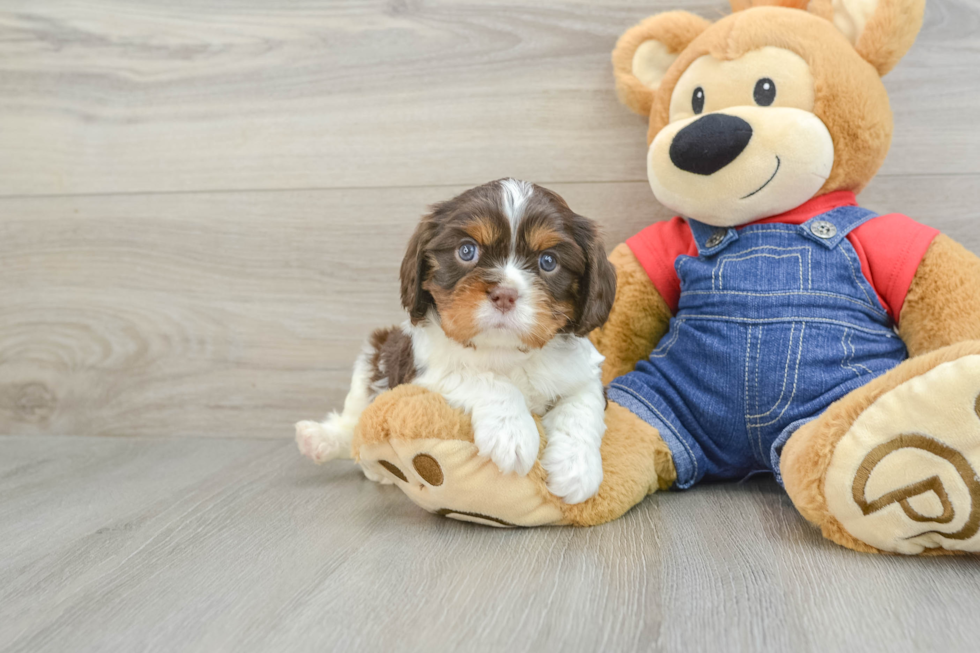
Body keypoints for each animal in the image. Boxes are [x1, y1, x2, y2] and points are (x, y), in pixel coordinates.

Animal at [294, 178, 616, 504]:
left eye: (548, 261)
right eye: (466, 251)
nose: (505, 294)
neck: (504, 350)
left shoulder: (583, 374)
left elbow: (582, 408)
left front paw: (577, 470)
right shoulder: (424, 372)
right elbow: (484, 380)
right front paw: (512, 433)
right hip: (375, 353)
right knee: (355, 423)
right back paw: (323, 442)